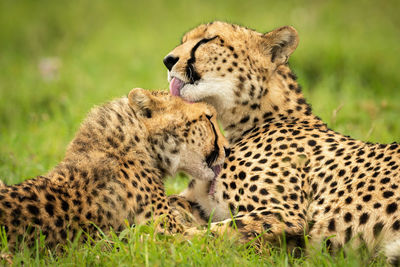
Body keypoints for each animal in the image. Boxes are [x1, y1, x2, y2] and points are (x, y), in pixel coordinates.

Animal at [164, 21, 400, 264]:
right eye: (184, 41)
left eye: (208, 40)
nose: (168, 60)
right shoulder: (203, 203)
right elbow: (172, 202)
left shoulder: (285, 214)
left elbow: (202, 233)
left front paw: (161, 240)